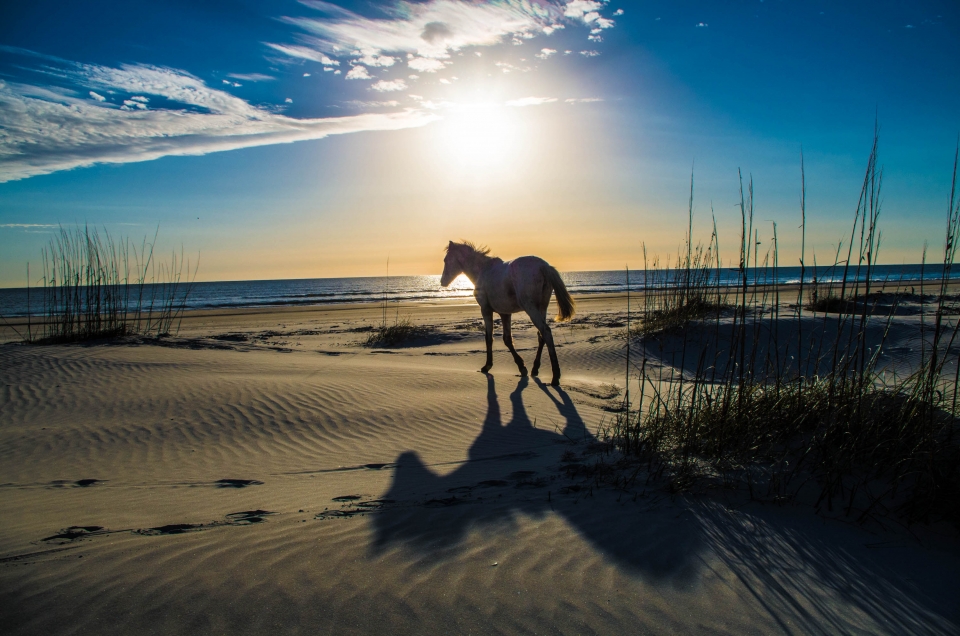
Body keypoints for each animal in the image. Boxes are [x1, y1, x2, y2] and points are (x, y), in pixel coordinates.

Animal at [440, 240, 572, 386]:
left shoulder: (486, 310)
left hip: (531, 309)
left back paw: (555, 376)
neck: (483, 270)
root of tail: (544, 266)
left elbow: (489, 338)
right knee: (541, 335)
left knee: (546, 332)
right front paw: (522, 367)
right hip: (542, 308)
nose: (442, 281)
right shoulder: (505, 314)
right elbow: (507, 339)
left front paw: (488, 366)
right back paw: (535, 369)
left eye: (446, 260)